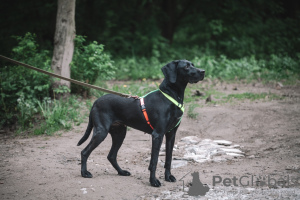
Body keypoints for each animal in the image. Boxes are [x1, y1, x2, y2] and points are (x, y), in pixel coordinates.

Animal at [77, 59, 205, 186]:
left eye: (193, 64)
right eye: (186, 67)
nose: (203, 71)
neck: (171, 96)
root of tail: (95, 102)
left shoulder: (171, 135)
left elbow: (169, 159)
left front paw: (168, 177)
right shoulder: (157, 135)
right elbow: (154, 161)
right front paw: (153, 181)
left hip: (120, 133)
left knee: (111, 156)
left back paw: (121, 172)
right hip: (101, 132)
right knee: (84, 152)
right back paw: (84, 173)